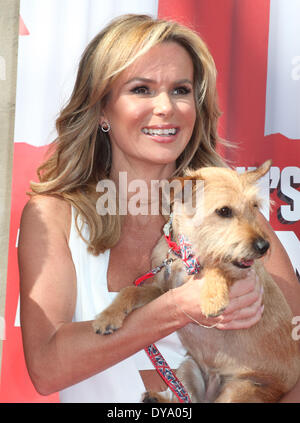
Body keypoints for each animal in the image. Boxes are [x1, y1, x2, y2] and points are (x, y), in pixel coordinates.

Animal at [92, 162, 300, 404]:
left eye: (255, 207)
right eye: (224, 211)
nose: (263, 246)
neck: (185, 254)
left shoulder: (245, 274)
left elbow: (218, 266)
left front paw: (213, 298)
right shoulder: (163, 292)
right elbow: (130, 291)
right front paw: (108, 317)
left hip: (238, 389)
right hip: (189, 368)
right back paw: (157, 399)